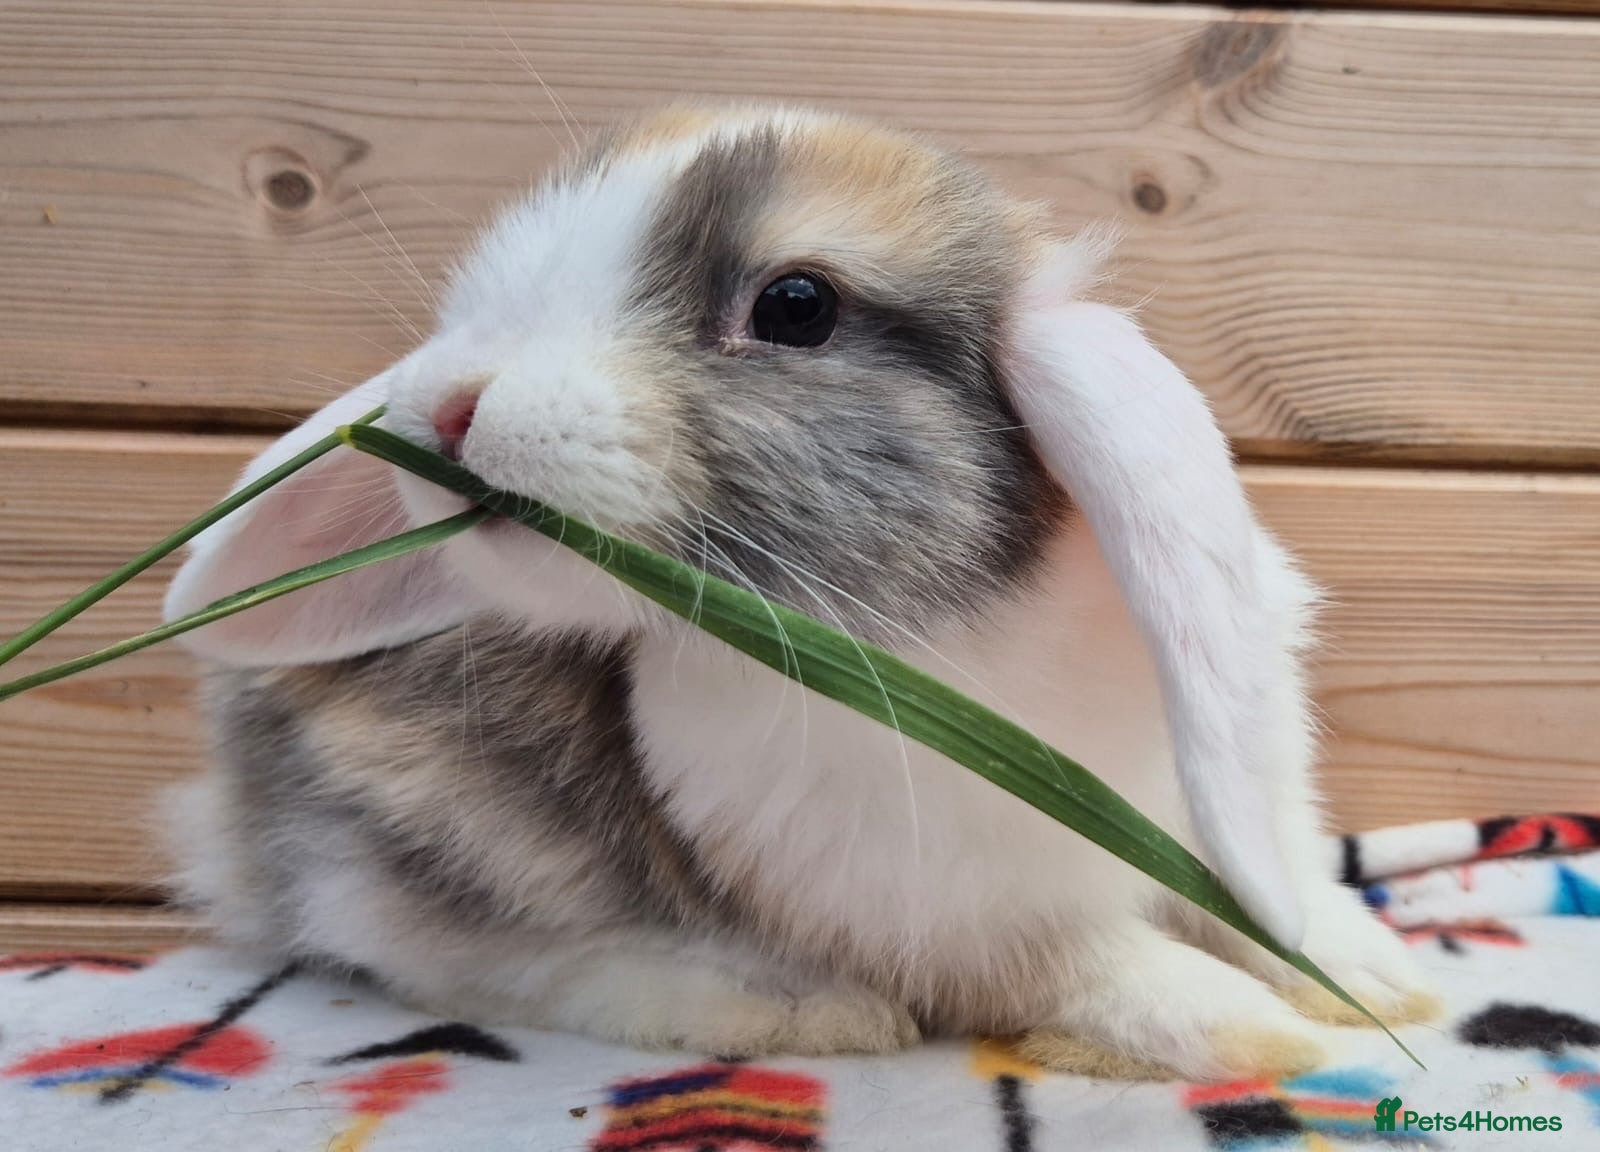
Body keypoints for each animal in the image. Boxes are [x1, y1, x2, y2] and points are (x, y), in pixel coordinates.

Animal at [162, 105, 1436, 1081]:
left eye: (796, 307)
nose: (450, 407)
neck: (945, 621)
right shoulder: (960, 924)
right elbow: (1105, 967)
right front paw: (1264, 1034)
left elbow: (1267, 890)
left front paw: (1374, 979)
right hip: (436, 829)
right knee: (452, 950)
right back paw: (784, 1006)